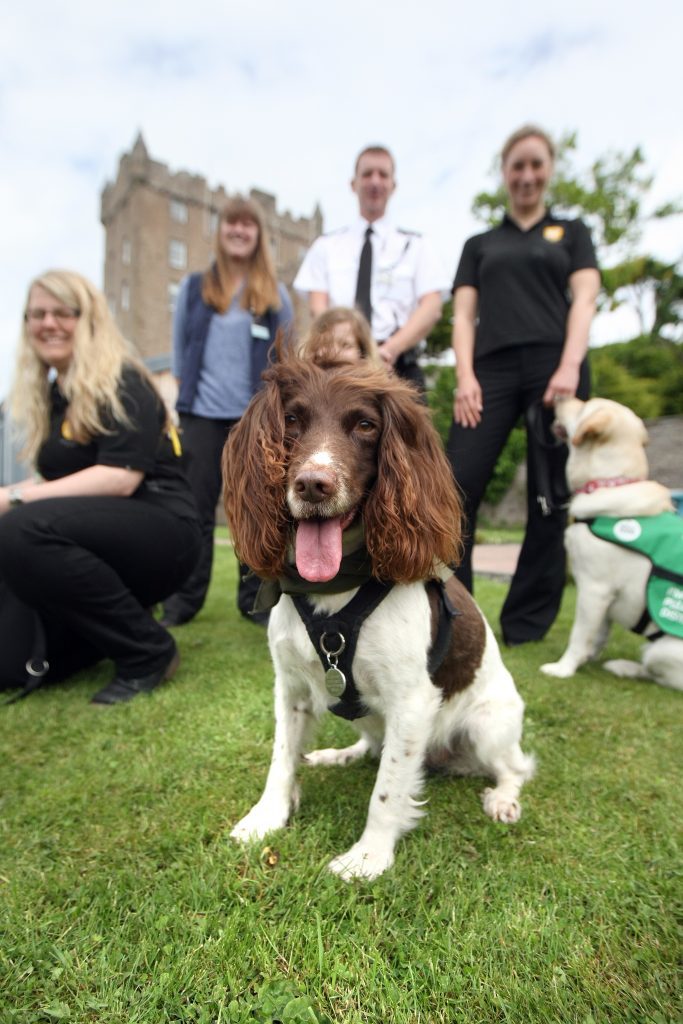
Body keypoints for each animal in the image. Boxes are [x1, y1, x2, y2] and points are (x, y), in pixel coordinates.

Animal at [224, 354, 532, 880]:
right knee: (372, 745)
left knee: (514, 767)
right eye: (291, 420)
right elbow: (281, 758)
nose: (313, 484)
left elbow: (387, 790)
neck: (335, 586)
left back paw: (503, 799)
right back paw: (340, 755)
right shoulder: (290, 687)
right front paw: (266, 818)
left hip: (489, 725)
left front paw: (368, 857)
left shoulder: (412, 701)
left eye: (366, 425)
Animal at [540, 395, 679, 692]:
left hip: (661, 651)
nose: (558, 396)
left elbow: (579, 635)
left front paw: (563, 668)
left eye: (583, 405)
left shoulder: (594, 588)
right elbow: (598, 634)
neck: (609, 482)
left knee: (655, 672)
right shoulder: (604, 596)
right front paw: (585, 660)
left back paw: (625, 667)